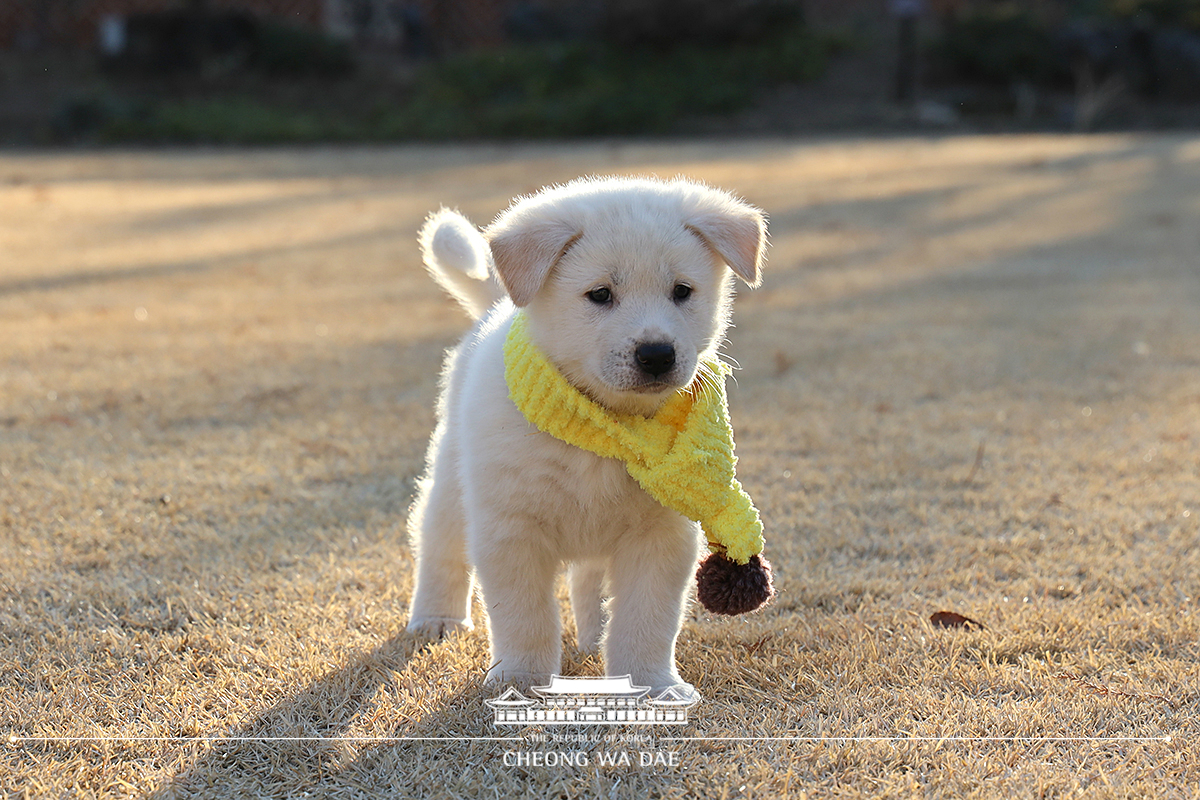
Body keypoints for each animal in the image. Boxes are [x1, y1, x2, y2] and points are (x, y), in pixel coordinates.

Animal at [408, 175, 763, 695]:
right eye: (600, 294)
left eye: (682, 291)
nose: (656, 355)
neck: (604, 428)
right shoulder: (511, 529)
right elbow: (525, 618)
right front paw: (522, 679)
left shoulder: (661, 536)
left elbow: (646, 620)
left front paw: (651, 683)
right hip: (453, 485)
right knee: (440, 545)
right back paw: (436, 618)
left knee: (589, 583)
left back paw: (595, 638)